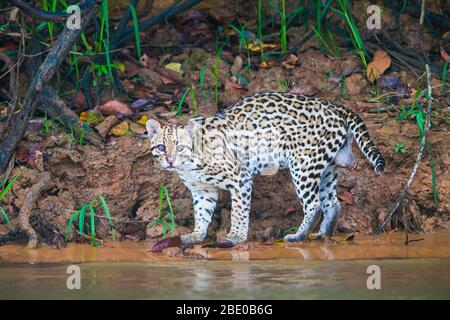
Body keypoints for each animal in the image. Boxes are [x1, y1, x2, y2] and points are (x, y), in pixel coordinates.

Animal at [146, 92, 384, 245]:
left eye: (180, 146)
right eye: (161, 147)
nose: (170, 160)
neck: (189, 165)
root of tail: (335, 106)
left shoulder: (240, 178)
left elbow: (239, 210)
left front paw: (235, 237)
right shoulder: (202, 189)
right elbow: (202, 213)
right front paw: (196, 235)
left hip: (303, 165)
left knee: (314, 204)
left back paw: (298, 236)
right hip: (327, 169)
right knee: (332, 203)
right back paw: (323, 234)